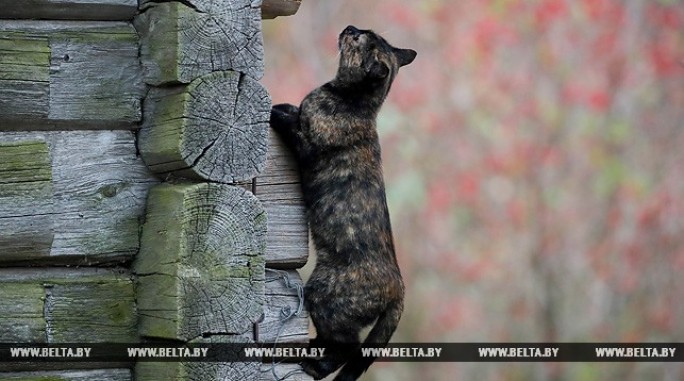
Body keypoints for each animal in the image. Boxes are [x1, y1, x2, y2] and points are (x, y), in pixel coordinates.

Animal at [270, 25, 414, 378]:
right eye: (364, 32)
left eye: (359, 39)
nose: (350, 28)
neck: (351, 102)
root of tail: (399, 289)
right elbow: (294, 110)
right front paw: (286, 104)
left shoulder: (307, 147)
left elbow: (292, 123)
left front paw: (275, 111)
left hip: (324, 296)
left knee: (346, 346)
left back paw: (314, 365)